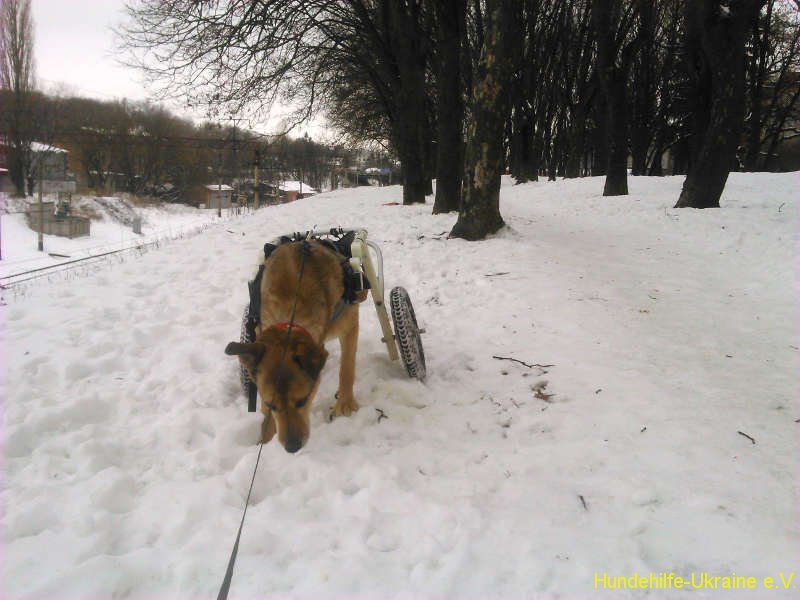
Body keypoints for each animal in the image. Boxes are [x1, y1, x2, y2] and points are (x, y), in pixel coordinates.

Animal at [225, 240, 365, 453]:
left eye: (303, 400)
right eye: (271, 405)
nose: (292, 447)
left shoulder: (349, 326)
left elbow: (346, 369)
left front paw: (345, 403)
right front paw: (265, 437)